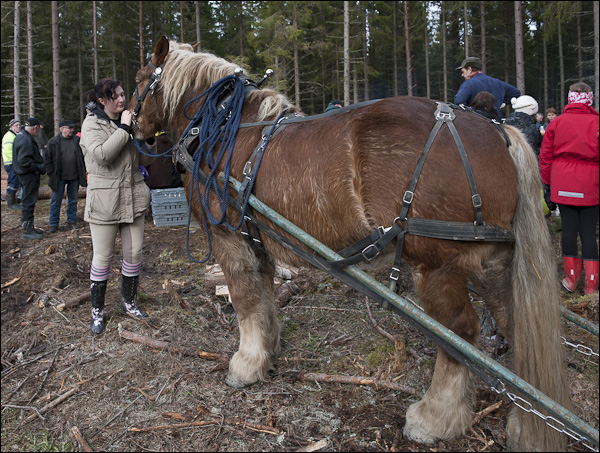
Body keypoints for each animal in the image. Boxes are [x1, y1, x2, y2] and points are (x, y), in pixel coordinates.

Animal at [130, 35, 572, 448]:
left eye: (138, 81)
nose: (131, 125)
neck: (224, 127)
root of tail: (500, 134)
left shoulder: (228, 238)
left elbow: (244, 299)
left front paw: (246, 365)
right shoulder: (257, 238)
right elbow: (265, 297)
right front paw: (268, 351)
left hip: (436, 265)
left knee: (460, 333)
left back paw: (435, 418)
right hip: (493, 262)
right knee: (516, 328)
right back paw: (525, 424)